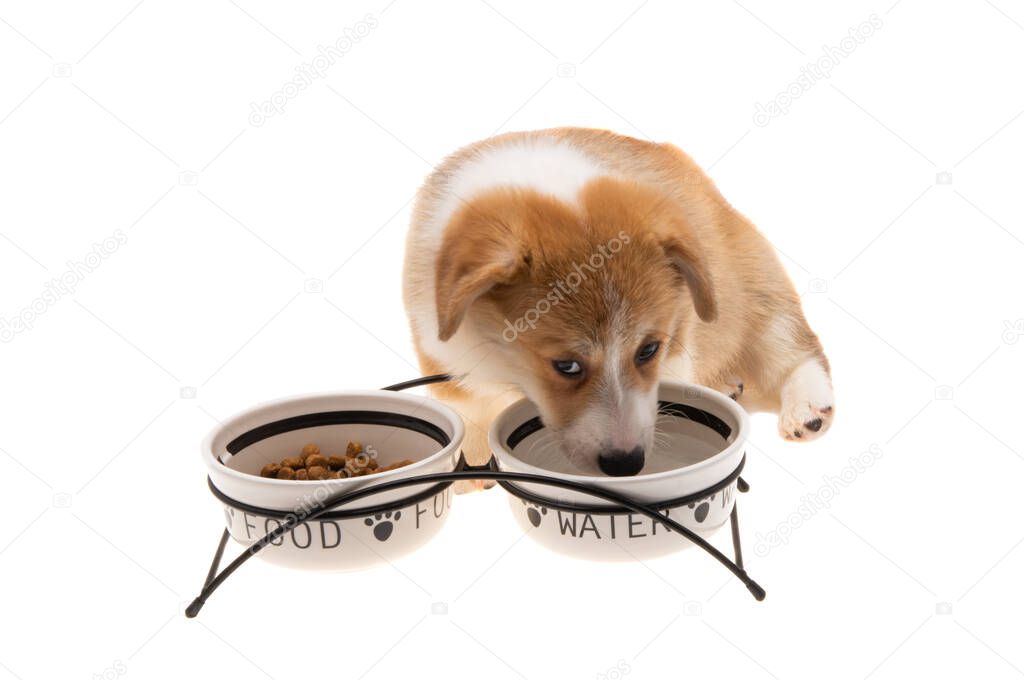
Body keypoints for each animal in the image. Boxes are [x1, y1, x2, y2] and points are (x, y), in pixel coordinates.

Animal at [401, 124, 831, 481]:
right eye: (566, 366)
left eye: (648, 350)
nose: (627, 465)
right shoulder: (449, 363)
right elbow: (470, 417)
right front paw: (471, 474)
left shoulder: (676, 346)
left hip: (755, 289)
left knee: (794, 350)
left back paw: (806, 409)